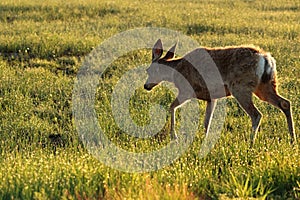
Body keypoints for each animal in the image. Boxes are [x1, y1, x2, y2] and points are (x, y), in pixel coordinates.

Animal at [144, 39, 296, 145]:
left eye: (149, 70)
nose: (146, 86)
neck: (177, 70)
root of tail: (266, 58)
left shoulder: (186, 90)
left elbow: (171, 107)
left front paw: (174, 136)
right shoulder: (212, 97)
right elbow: (207, 121)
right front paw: (205, 141)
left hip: (240, 87)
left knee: (256, 114)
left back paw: (251, 143)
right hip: (265, 86)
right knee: (285, 103)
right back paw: (292, 140)